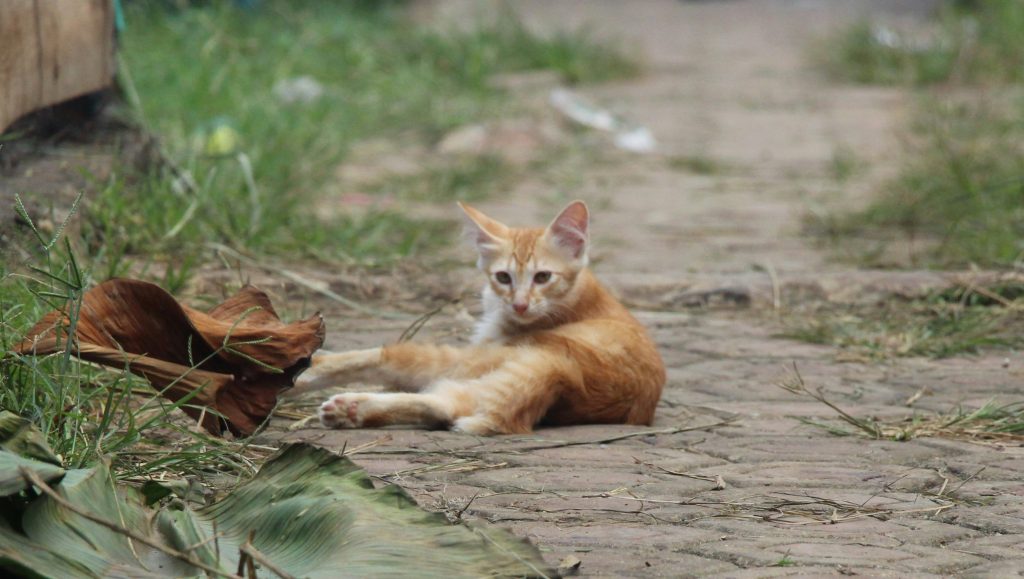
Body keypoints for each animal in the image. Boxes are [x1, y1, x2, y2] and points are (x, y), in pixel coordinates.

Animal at [300, 200, 665, 435]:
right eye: (503, 277)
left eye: (542, 277)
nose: (519, 305)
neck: (578, 297)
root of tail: (565, 377)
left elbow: (373, 356)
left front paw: (308, 363)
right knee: (448, 405)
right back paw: (352, 412)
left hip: (476, 359)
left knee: (394, 359)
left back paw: (337, 397)